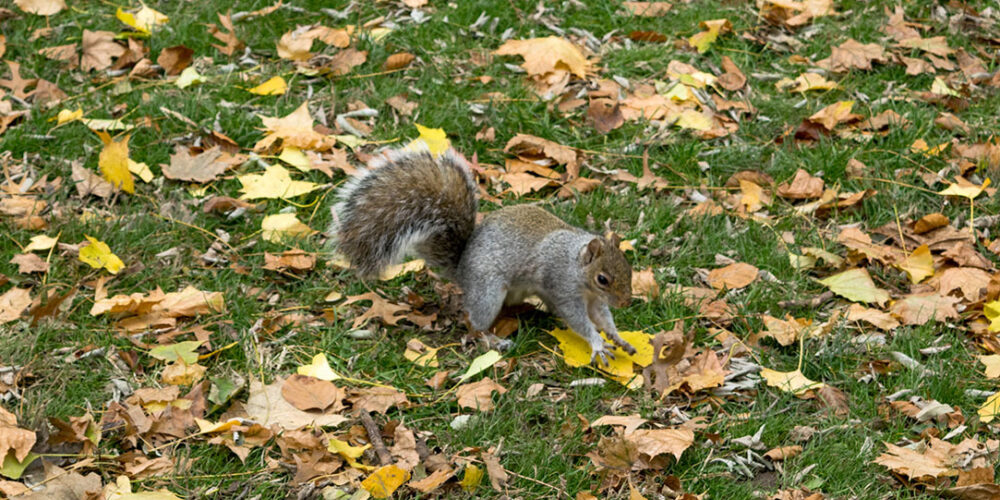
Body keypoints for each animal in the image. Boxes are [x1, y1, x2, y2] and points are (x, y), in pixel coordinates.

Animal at [332, 146, 636, 366]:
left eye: (629, 269)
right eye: (602, 279)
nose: (626, 302)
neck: (575, 264)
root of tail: (461, 271)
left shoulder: (593, 300)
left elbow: (602, 317)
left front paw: (618, 337)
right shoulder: (562, 287)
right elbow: (579, 320)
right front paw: (597, 343)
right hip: (488, 292)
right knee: (473, 321)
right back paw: (492, 340)